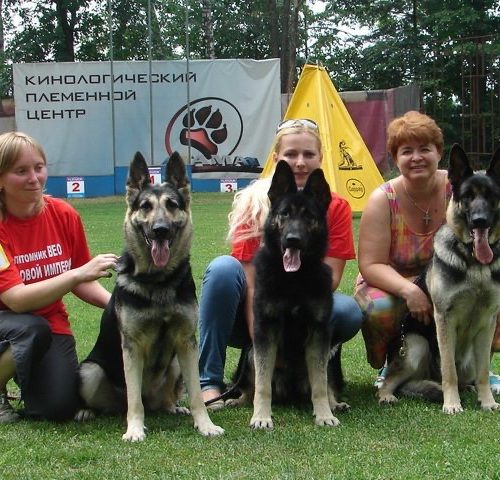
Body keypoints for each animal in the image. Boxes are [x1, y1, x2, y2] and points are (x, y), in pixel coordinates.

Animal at [78, 151, 224, 441]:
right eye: (145, 206)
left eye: (172, 205)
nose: (160, 230)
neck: (159, 281)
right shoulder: (132, 347)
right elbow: (134, 399)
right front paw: (134, 429)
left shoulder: (186, 343)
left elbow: (197, 395)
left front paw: (205, 425)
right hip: (89, 371)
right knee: (120, 401)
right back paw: (87, 412)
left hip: (176, 363)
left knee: (166, 399)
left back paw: (172, 407)